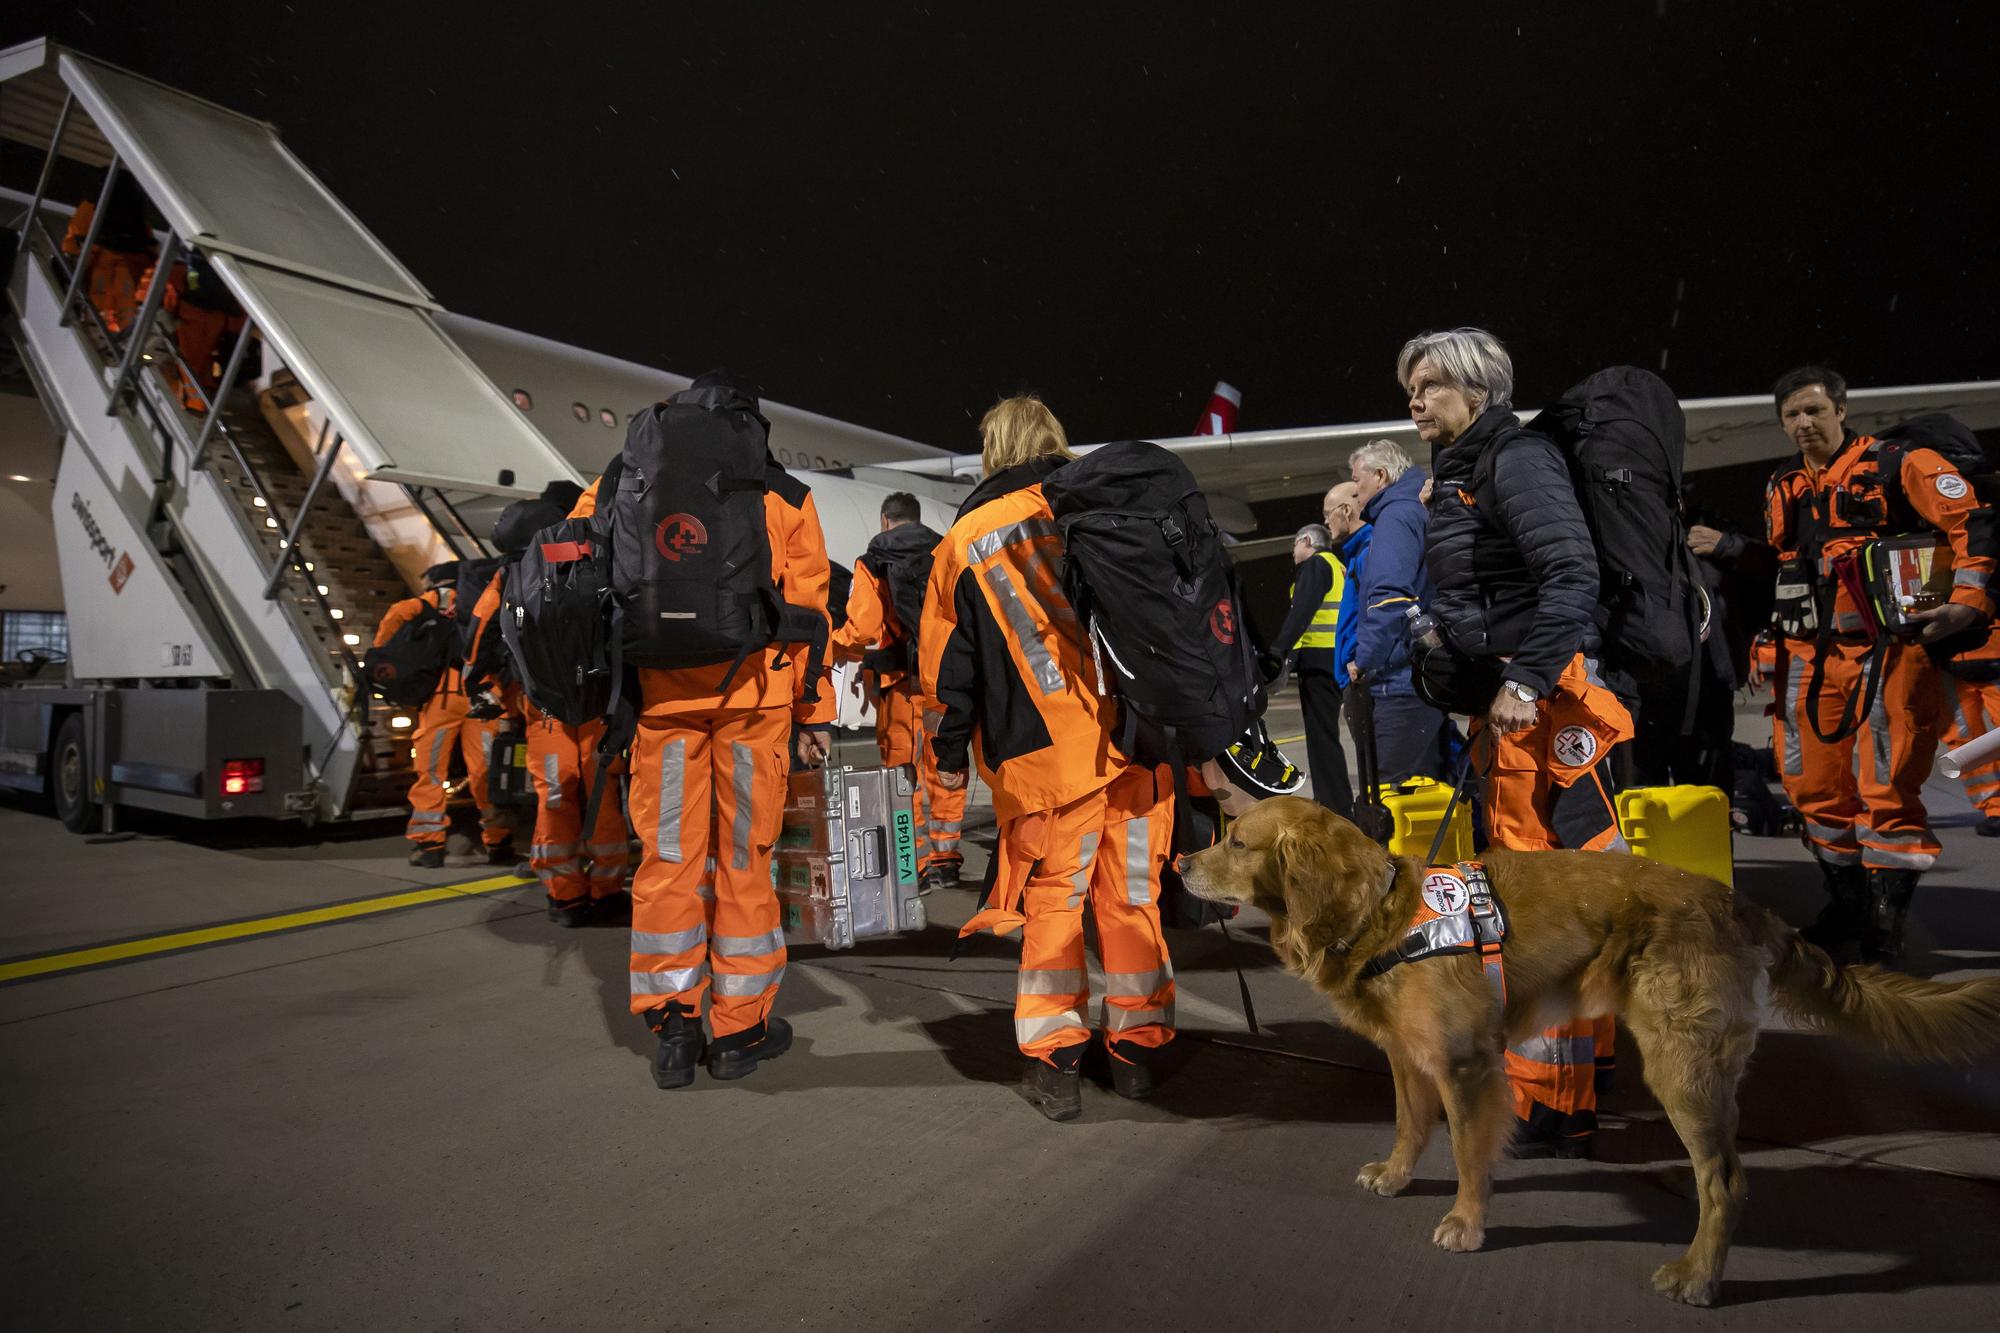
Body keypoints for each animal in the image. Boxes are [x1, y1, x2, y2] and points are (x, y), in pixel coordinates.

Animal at [1168, 792, 2000, 1304]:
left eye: (1236, 840)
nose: (1178, 862)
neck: (1381, 914)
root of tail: (1738, 903)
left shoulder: (1468, 1064)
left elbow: (1468, 1153)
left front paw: (1467, 1221)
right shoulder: (1410, 1056)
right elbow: (1410, 1124)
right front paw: (1399, 1174)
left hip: (1680, 1065)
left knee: (1727, 1182)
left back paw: (1699, 1275)